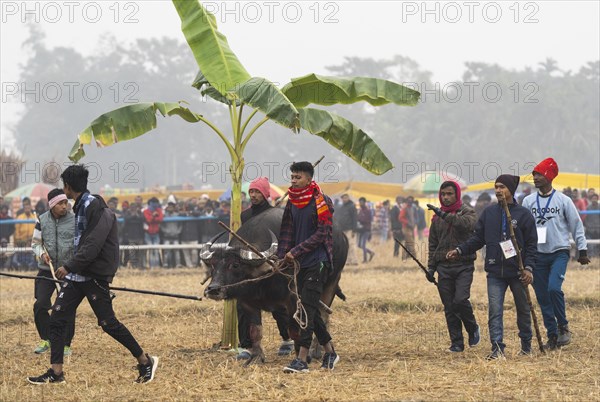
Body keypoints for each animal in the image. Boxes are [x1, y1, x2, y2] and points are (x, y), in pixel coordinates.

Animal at [202, 207, 346, 364]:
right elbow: (255, 330)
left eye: (235, 265)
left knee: (323, 316)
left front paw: (301, 355)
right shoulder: (246, 301)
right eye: (213, 265)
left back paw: (316, 350)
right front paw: (256, 357)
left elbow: (295, 329)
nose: (213, 289)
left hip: (332, 281)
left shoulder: (293, 299)